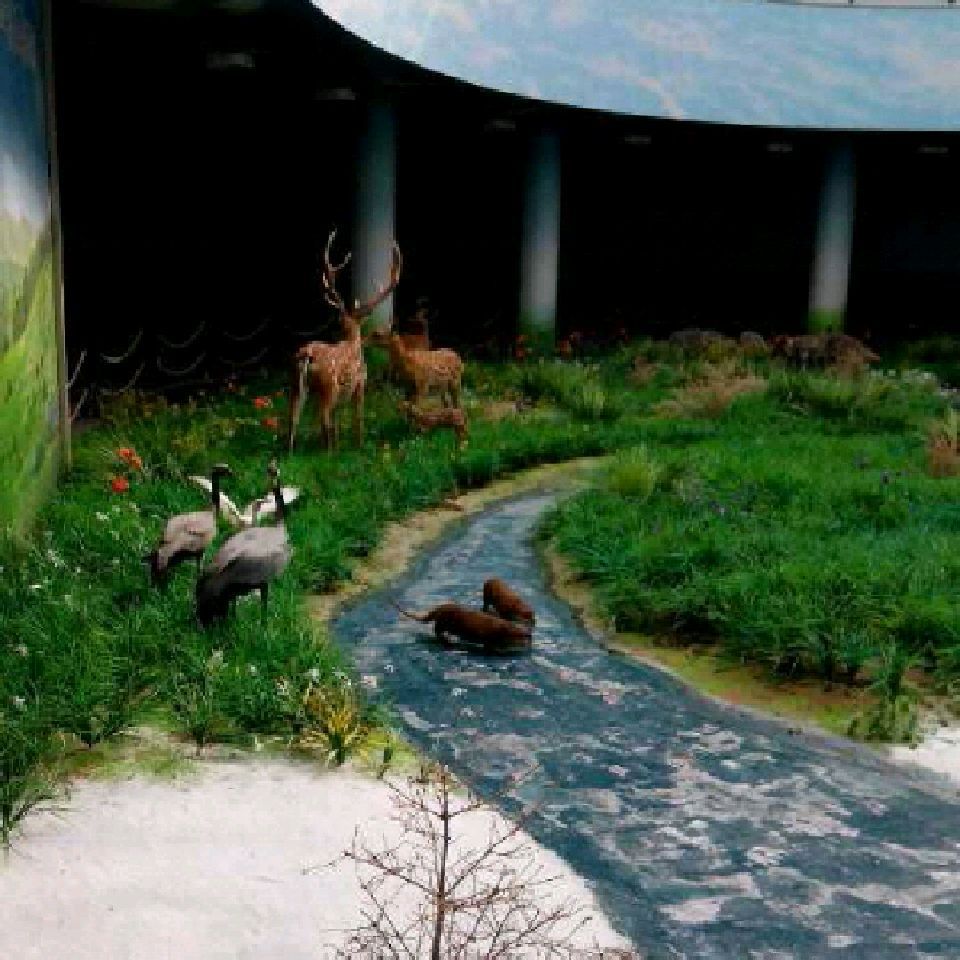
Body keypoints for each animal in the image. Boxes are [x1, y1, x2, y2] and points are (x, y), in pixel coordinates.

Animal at [287, 229, 401, 452]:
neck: (352, 341)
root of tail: (307, 355)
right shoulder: (360, 383)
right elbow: (358, 418)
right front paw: (359, 446)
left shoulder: (343, 395)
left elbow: (338, 420)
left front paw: (340, 442)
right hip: (328, 386)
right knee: (323, 417)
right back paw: (329, 453)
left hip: (297, 383)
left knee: (294, 417)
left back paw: (291, 452)